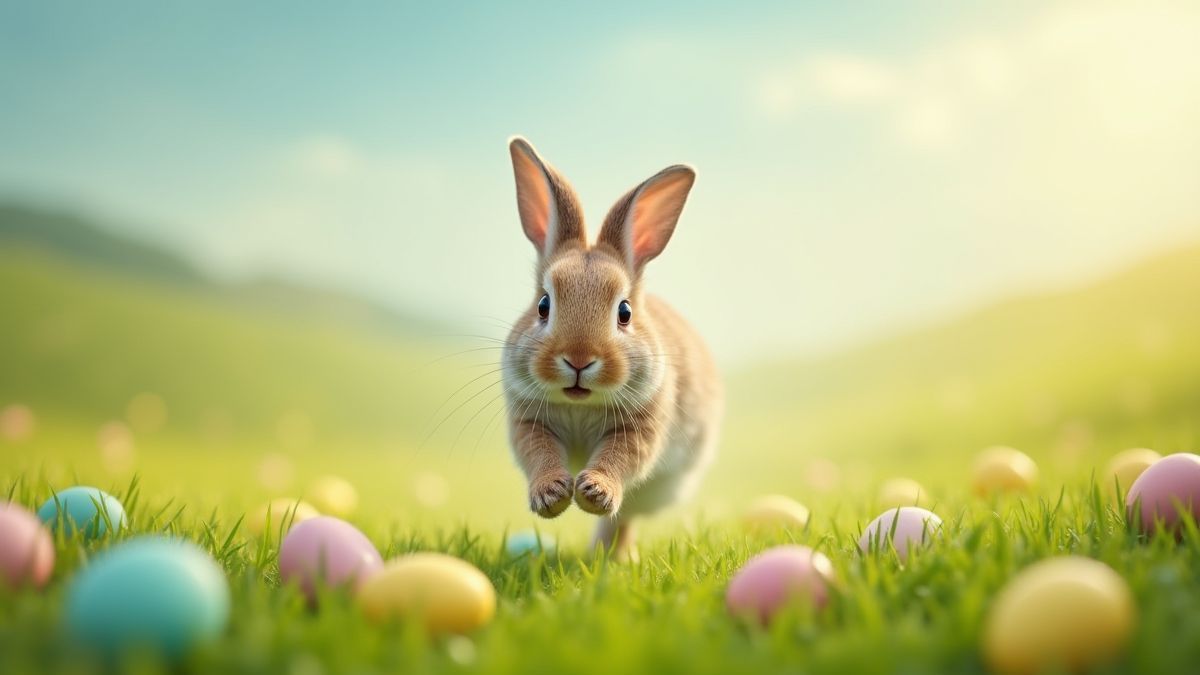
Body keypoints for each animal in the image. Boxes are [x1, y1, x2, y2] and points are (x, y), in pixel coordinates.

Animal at [501, 136, 723, 558]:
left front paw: (594, 492)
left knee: (624, 518)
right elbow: (539, 454)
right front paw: (552, 495)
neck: (581, 404)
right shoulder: (529, 421)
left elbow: (620, 459)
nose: (578, 359)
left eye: (624, 311)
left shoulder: (642, 427)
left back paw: (609, 557)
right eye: (543, 305)